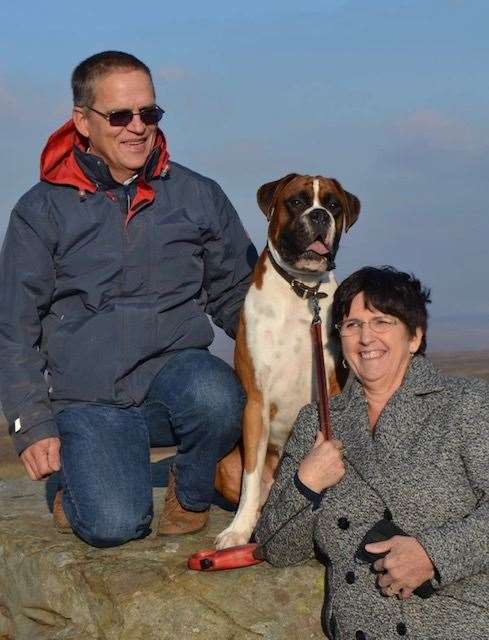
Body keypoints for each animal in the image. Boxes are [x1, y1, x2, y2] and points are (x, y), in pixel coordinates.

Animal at [215, 175, 360, 552]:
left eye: (334, 204)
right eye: (296, 202)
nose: (320, 215)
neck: (302, 290)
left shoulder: (331, 391)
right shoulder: (256, 401)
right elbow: (251, 480)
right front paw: (236, 531)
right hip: (225, 468)